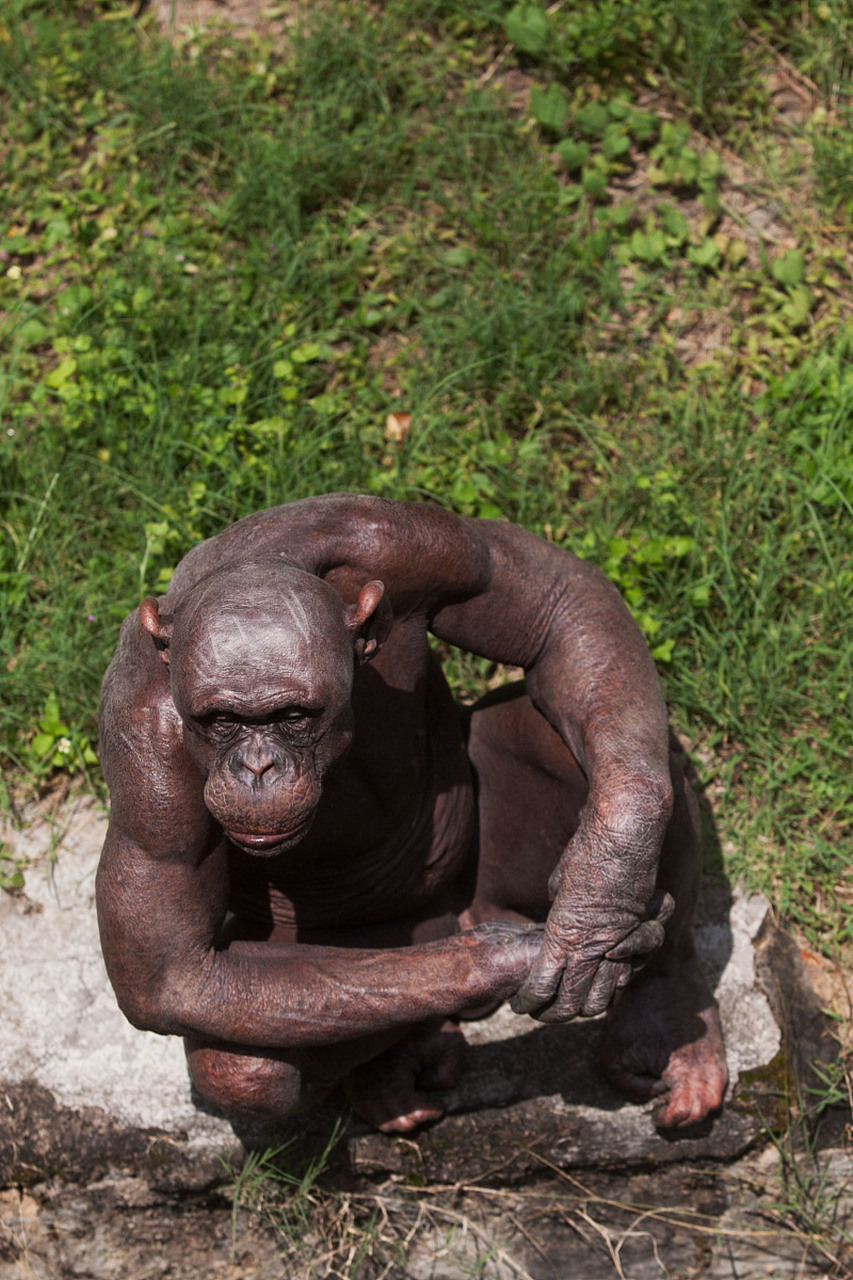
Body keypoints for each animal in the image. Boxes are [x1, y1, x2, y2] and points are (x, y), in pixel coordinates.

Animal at [97, 488, 722, 1131]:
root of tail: (461, 912)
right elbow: (174, 976)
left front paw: (601, 896)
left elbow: (552, 601)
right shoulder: (146, 755)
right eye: (222, 720)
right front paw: (510, 959)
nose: (257, 768)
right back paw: (397, 1067)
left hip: (485, 872)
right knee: (246, 1065)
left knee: (604, 748)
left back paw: (664, 1016)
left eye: (293, 715)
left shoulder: (411, 544)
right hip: (405, 942)